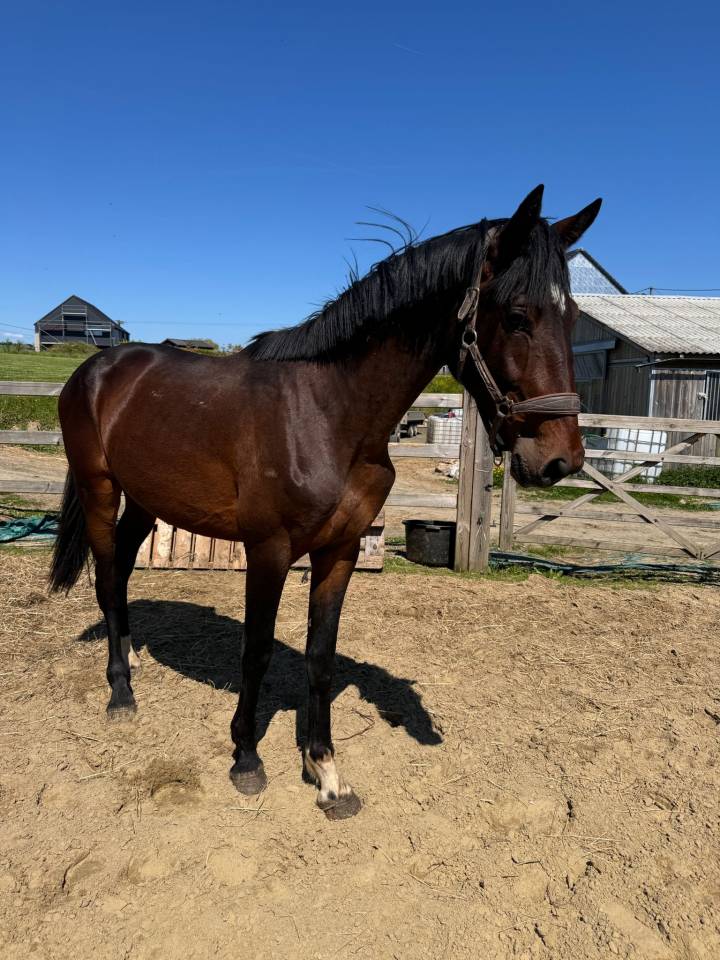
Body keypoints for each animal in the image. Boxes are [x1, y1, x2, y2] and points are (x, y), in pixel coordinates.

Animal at [49, 184, 600, 819]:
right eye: (516, 316)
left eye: (573, 317)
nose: (561, 460)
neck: (329, 413)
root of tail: (95, 367)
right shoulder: (267, 551)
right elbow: (258, 651)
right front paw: (246, 757)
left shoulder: (339, 552)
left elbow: (320, 656)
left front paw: (326, 772)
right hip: (99, 488)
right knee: (106, 574)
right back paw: (120, 692)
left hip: (147, 500)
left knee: (119, 576)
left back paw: (133, 658)